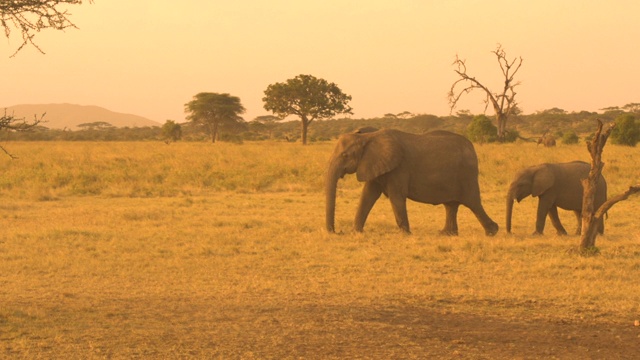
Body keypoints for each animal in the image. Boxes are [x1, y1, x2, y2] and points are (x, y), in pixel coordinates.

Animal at [324, 128, 500, 235]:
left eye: (345, 155)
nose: (337, 232)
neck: (367, 137)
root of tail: (472, 147)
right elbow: (367, 195)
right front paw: (356, 232)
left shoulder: (399, 168)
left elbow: (396, 196)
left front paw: (405, 234)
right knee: (451, 205)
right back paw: (446, 234)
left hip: (466, 174)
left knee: (473, 203)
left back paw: (493, 231)